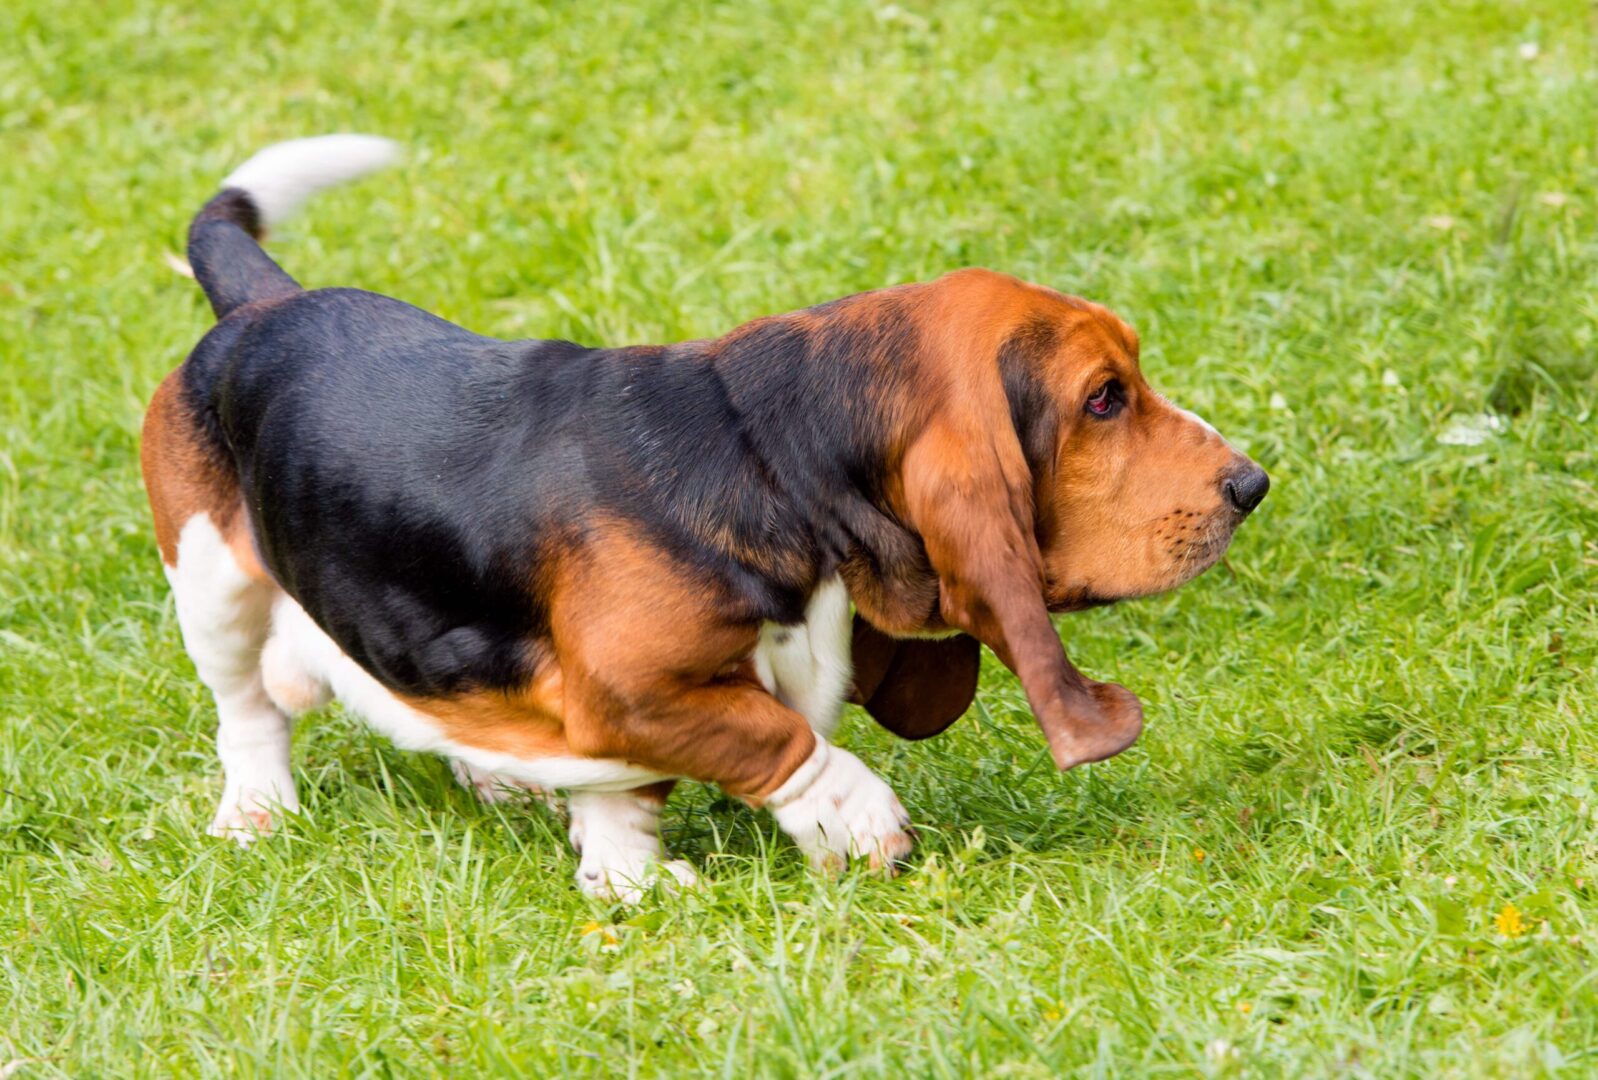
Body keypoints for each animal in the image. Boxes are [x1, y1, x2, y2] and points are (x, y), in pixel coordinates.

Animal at [143, 135, 1265, 901]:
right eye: (1102, 400)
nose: (1250, 485)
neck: (769, 455)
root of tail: (262, 306)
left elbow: (628, 794)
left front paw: (624, 878)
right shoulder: (632, 688)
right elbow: (775, 735)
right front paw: (857, 819)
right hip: (213, 585)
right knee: (250, 711)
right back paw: (256, 813)